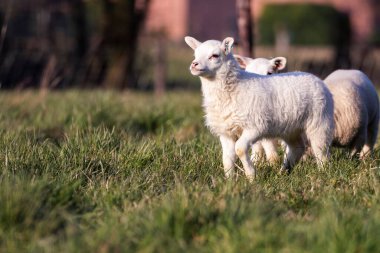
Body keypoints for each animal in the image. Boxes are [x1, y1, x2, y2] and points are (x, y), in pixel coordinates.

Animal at [186, 36, 334, 180]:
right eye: (195, 54)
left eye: (215, 55)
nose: (194, 64)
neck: (235, 88)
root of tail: (315, 77)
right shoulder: (226, 132)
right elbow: (227, 158)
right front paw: (229, 181)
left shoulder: (255, 126)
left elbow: (240, 149)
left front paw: (251, 176)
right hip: (290, 127)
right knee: (297, 147)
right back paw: (283, 172)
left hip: (320, 122)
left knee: (321, 151)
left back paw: (323, 173)